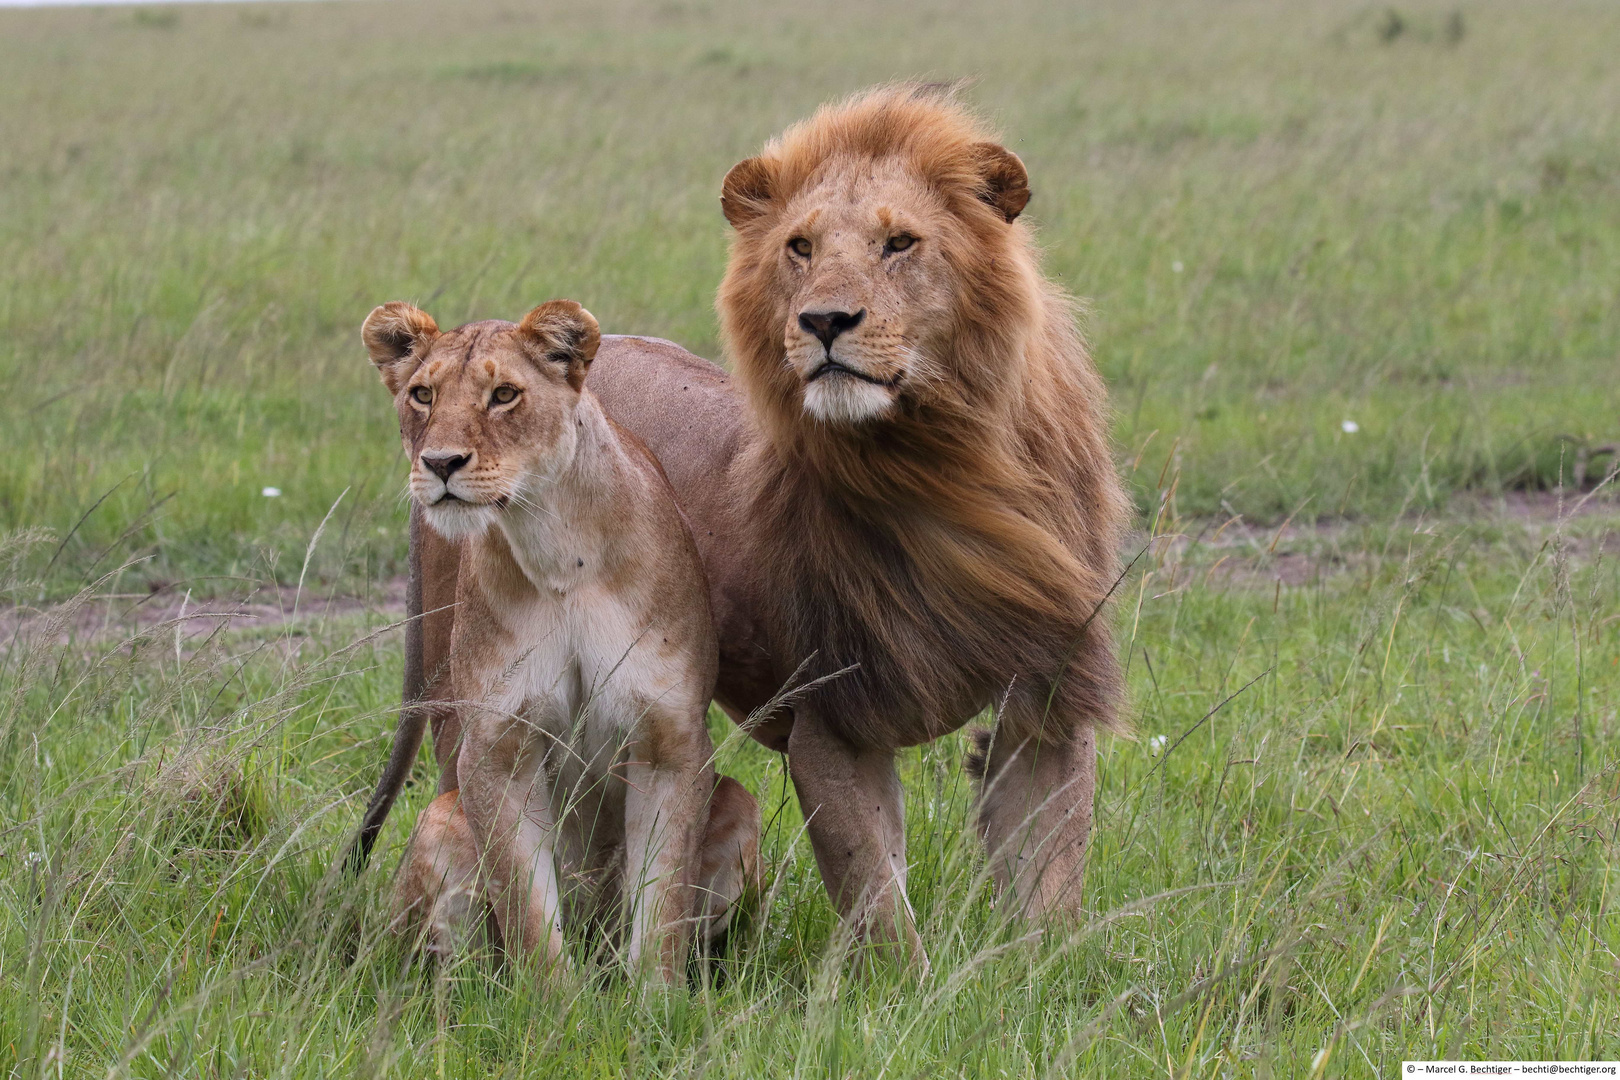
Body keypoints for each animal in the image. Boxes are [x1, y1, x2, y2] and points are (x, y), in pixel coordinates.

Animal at [361, 302, 758, 977]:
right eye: (422, 395)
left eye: (504, 395)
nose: (439, 464)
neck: (555, 548)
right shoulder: (496, 745)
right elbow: (529, 914)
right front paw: (554, 1002)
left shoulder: (670, 740)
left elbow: (661, 915)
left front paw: (655, 1001)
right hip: (441, 821)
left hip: (738, 804)